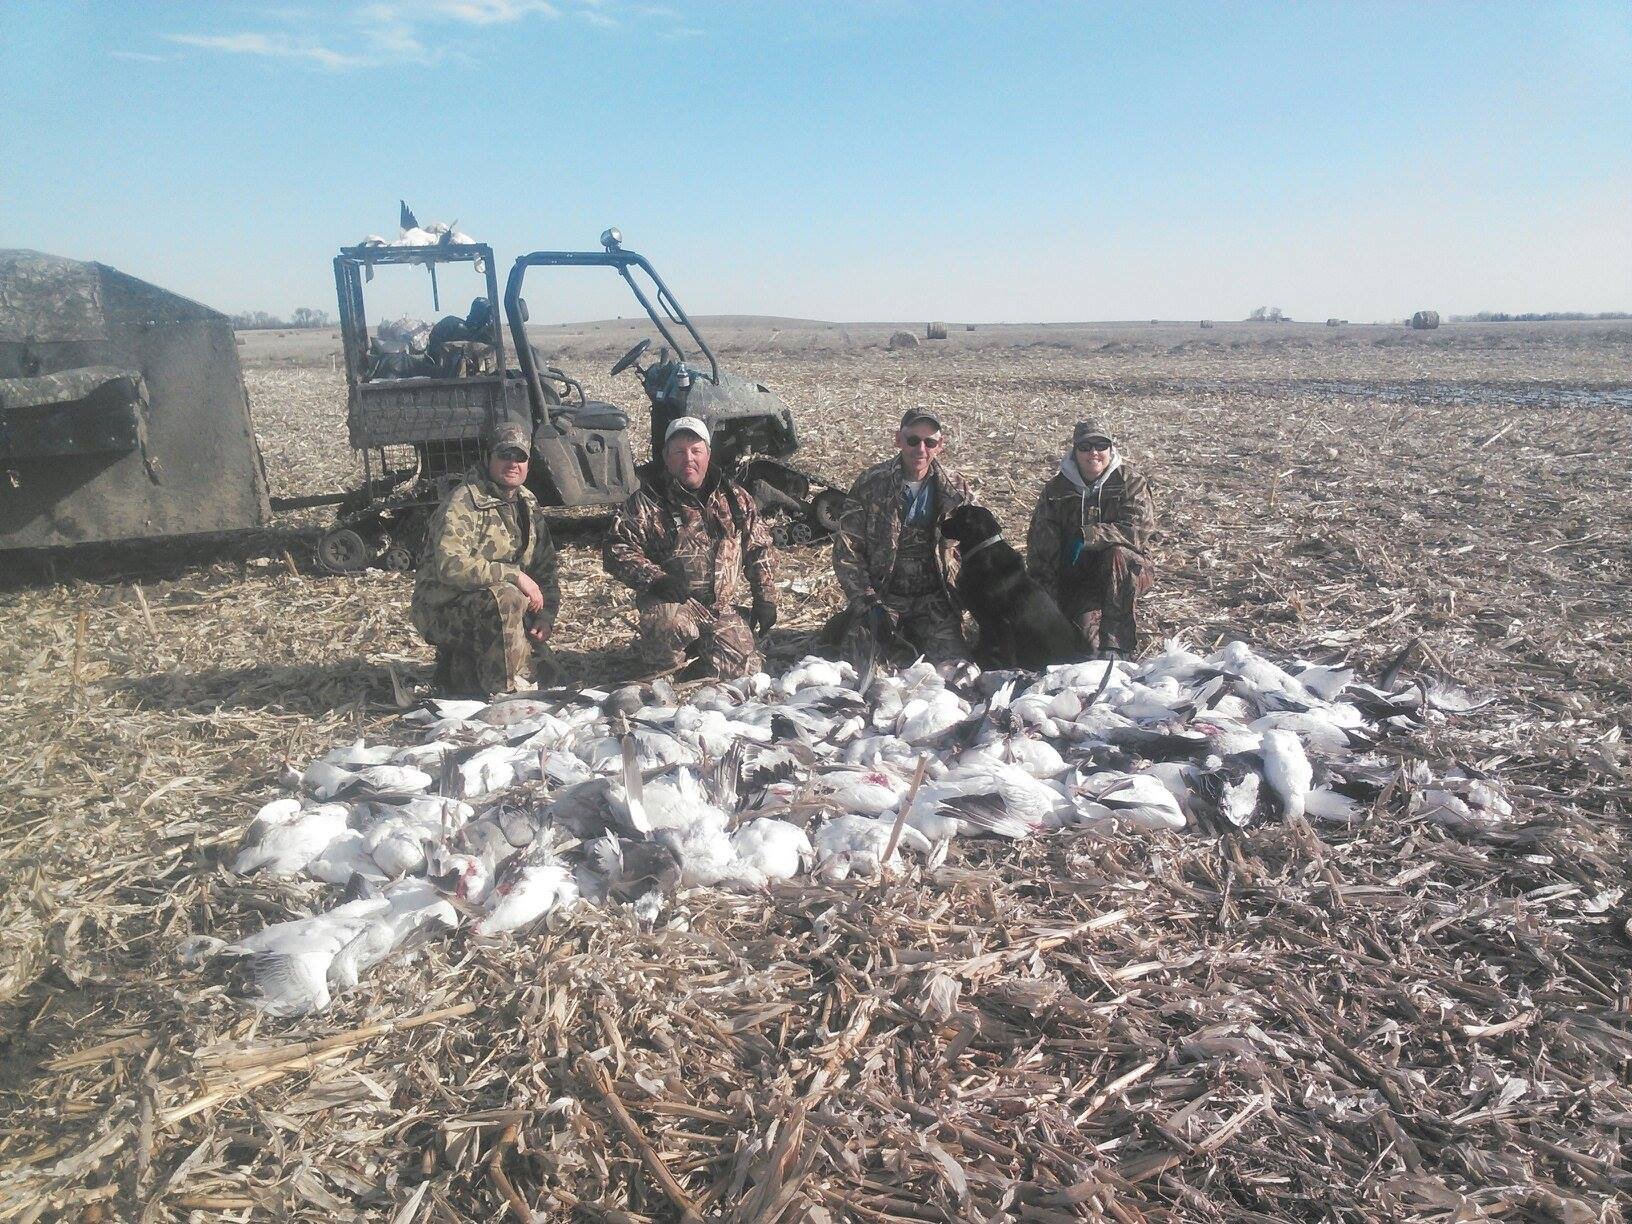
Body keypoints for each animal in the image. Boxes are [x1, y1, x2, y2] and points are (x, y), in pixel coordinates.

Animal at [940, 505, 1090, 672]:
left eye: (958, 515)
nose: (940, 524)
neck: (982, 551)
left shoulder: (1002, 622)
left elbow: (1005, 654)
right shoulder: (985, 622)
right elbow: (983, 645)